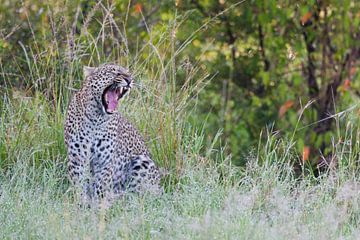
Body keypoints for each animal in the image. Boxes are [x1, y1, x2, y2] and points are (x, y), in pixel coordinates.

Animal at [64, 63, 162, 206]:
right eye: (115, 72)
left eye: (128, 73)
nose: (129, 79)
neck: (97, 118)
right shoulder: (77, 157)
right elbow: (79, 183)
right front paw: (81, 203)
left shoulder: (105, 161)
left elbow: (101, 185)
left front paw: (99, 205)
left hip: (143, 161)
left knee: (140, 196)